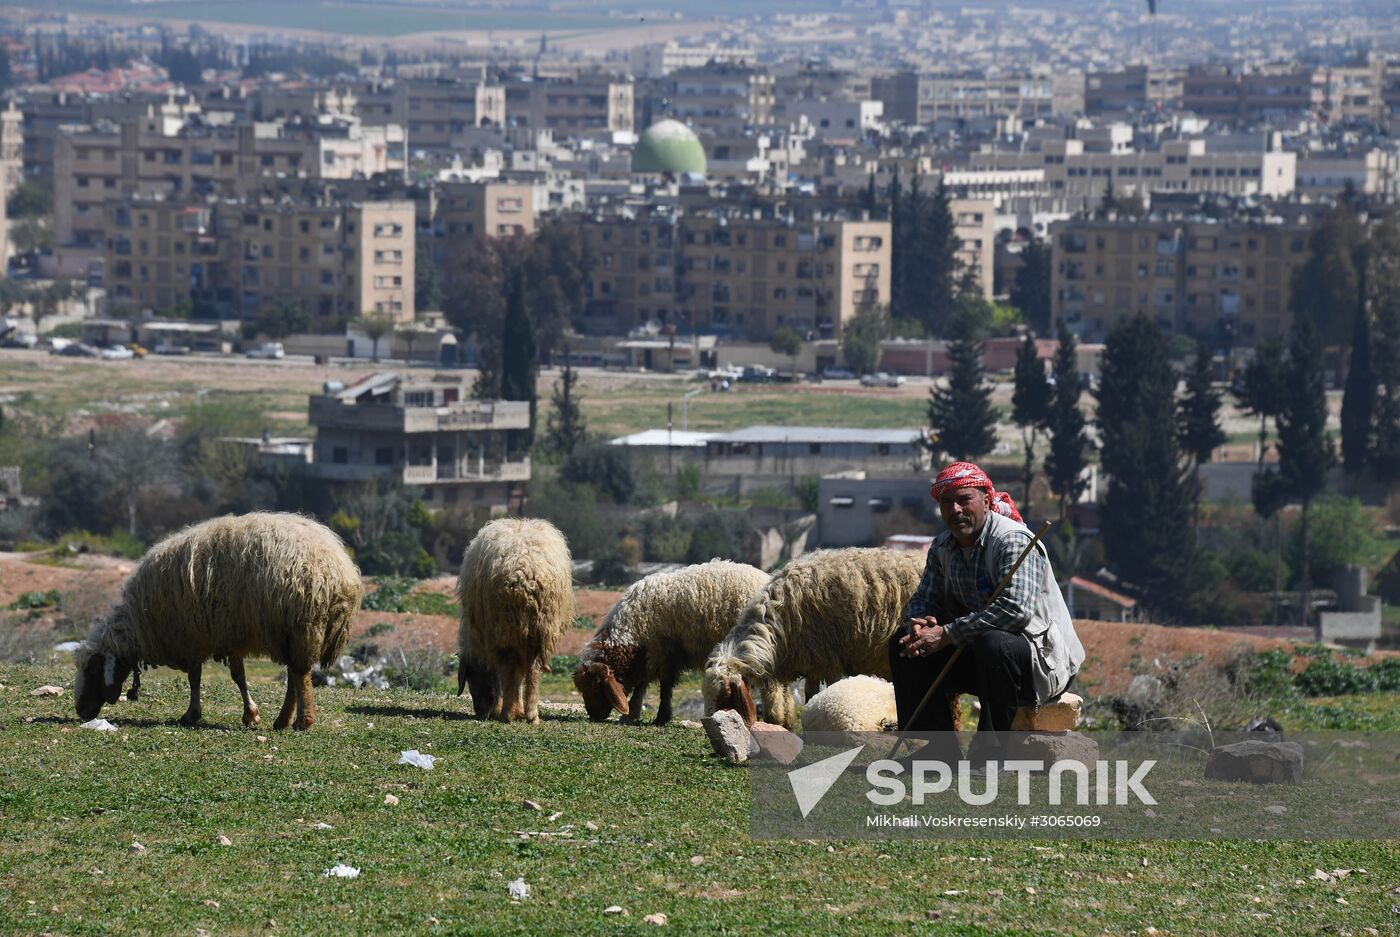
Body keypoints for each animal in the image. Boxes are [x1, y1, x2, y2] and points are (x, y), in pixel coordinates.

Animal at [74, 512, 364, 728]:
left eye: (92, 670)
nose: (81, 712)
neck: (142, 623)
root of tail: (342, 572)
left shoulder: (193, 637)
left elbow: (196, 677)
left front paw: (192, 714)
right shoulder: (228, 635)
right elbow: (238, 676)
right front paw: (251, 715)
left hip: (304, 626)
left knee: (301, 675)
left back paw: (303, 721)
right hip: (289, 632)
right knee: (294, 674)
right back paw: (283, 721)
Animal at [456, 515, 571, 722]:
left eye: (470, 678)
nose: (480, 711)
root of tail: (523, 571)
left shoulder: (490, 641)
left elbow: (498, 676)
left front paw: (499, 709)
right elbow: (518, 675)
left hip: (503, 626)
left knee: (508, 669)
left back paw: (506, 713)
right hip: (538, 628)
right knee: (533, 670)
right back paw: (531, 715)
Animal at [571, 560, 778, 728]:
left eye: (596, 686)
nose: (594, 716)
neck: (630, 634)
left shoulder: (662, 653)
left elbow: (662, 687)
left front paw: (660, 717)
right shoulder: (652, 655)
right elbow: (642, 686)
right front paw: (632, 714)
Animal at [700, 549, 940, 728]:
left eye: (726, 694)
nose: (710, 723)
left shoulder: (828, 658)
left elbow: (831, 688)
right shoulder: (811, 659)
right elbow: (810, 693)